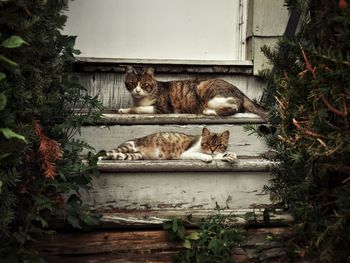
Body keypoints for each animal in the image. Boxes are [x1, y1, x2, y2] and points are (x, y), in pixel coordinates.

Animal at [98, 128, 238, 163]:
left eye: (219, 145)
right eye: (208, 143)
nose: (213, 150)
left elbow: (220, 156)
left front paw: (229, 155)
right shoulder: (186, 153)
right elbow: (199, 154)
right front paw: (207, 157)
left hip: (135, 155)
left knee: (118, 155)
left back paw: (118, 157)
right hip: (130, 146)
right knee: (108, 152)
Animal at [117, 66, 266, 119]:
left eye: (144, 85)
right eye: (132, 83)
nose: (137, 90)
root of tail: (239, 91)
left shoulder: (163, 108)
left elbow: (138, 108)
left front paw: (126, 110)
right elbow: (135, 107)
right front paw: (124, 109)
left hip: (208, 93)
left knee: (234, 107)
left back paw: (208, 111)